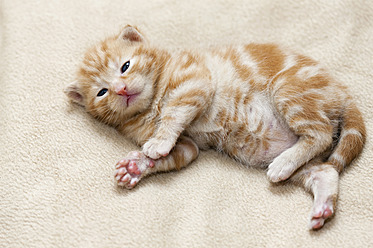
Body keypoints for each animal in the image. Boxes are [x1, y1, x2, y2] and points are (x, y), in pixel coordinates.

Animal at [64, 25, 364, 231]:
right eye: (102, 92)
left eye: (125, 66)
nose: (121, 89)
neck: (150, 105)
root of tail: (342, 91)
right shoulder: (188, 145)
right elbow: (176, 154)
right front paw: (137, 166)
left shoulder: (194, 80)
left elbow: (173, 114)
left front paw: (158, 143)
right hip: (296, 159)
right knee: (324, 170)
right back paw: (322, 204)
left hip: (288, 89)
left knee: (320, 133)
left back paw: (284, 163)